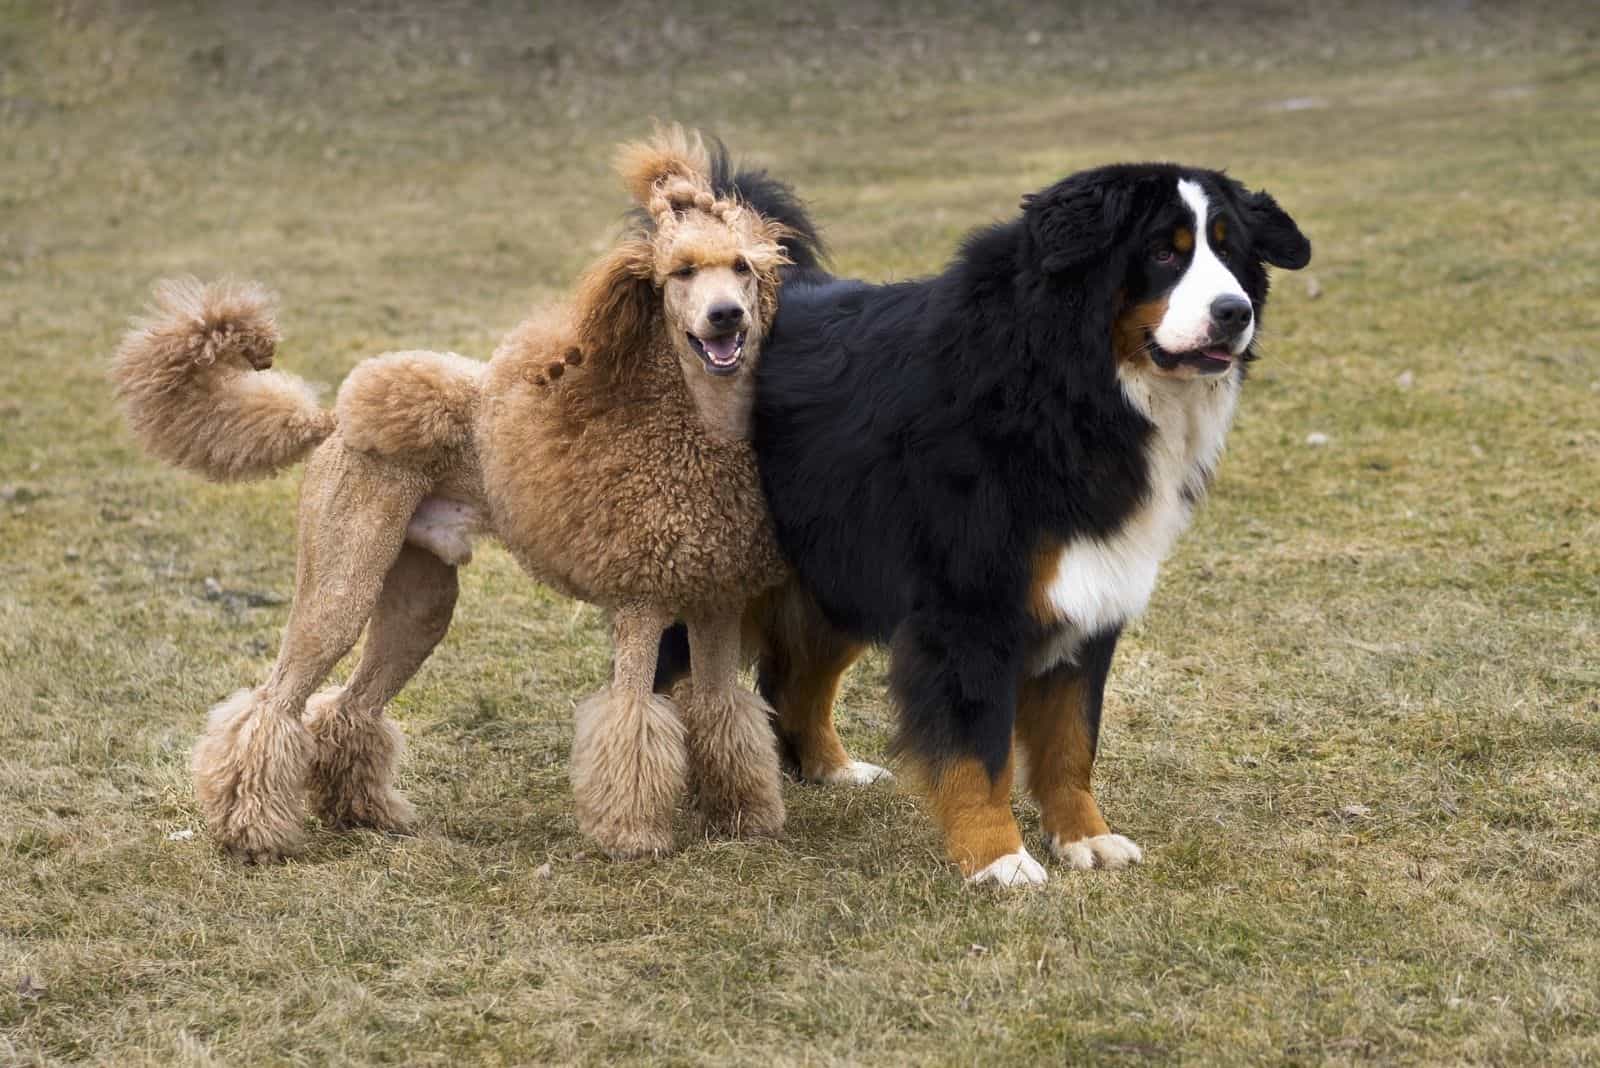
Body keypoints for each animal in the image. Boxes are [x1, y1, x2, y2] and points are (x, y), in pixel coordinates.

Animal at [659, 160, 1299, 882]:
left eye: (1231, 252)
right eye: (1164, 252)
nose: (1235, 312)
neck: (1069, 386)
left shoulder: (1090, 587)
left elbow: (1072, 740)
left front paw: (1085, 837)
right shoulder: (971, 604)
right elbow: (979, 746)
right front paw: (999, 858)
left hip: (837, 571)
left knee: (798, 676)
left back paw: (832, 769)